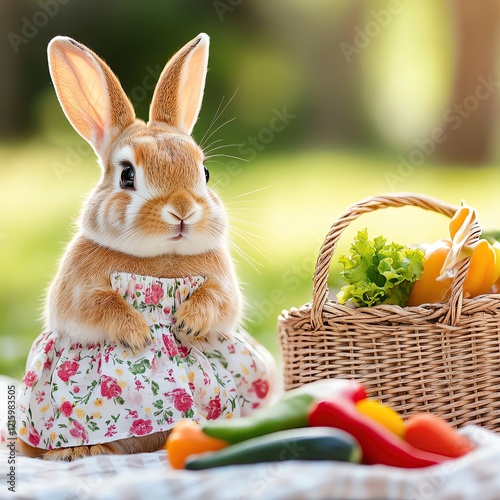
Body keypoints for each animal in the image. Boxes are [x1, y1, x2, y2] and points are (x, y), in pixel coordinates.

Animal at [16, 34, 278, 460]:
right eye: (127, 176)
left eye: (205, 172)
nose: (183, 210)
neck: (161, 257)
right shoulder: (78, 290)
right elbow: (98, 305)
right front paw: (138, 333)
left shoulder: (222, 284)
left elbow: (219, 300)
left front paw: (187, 324)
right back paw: (78, 452)